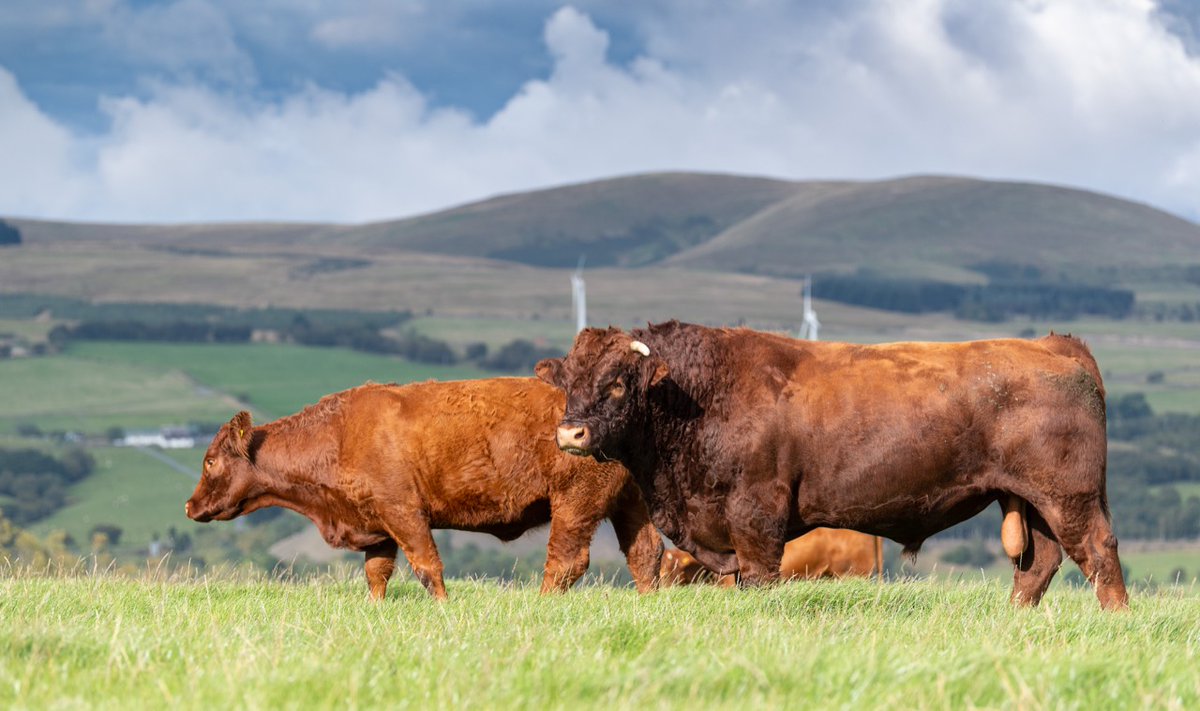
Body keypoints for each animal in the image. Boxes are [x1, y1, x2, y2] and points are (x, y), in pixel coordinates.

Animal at [185, 378, 663, 600]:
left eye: (210, 460)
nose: (190, 506)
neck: (338, 434)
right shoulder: (377, 527)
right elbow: (377, 574)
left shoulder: (404, 515)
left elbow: (428, 567)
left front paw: (445, 608)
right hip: (629, 503)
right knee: (645, 553)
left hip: (575, 503)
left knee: (566, 561)